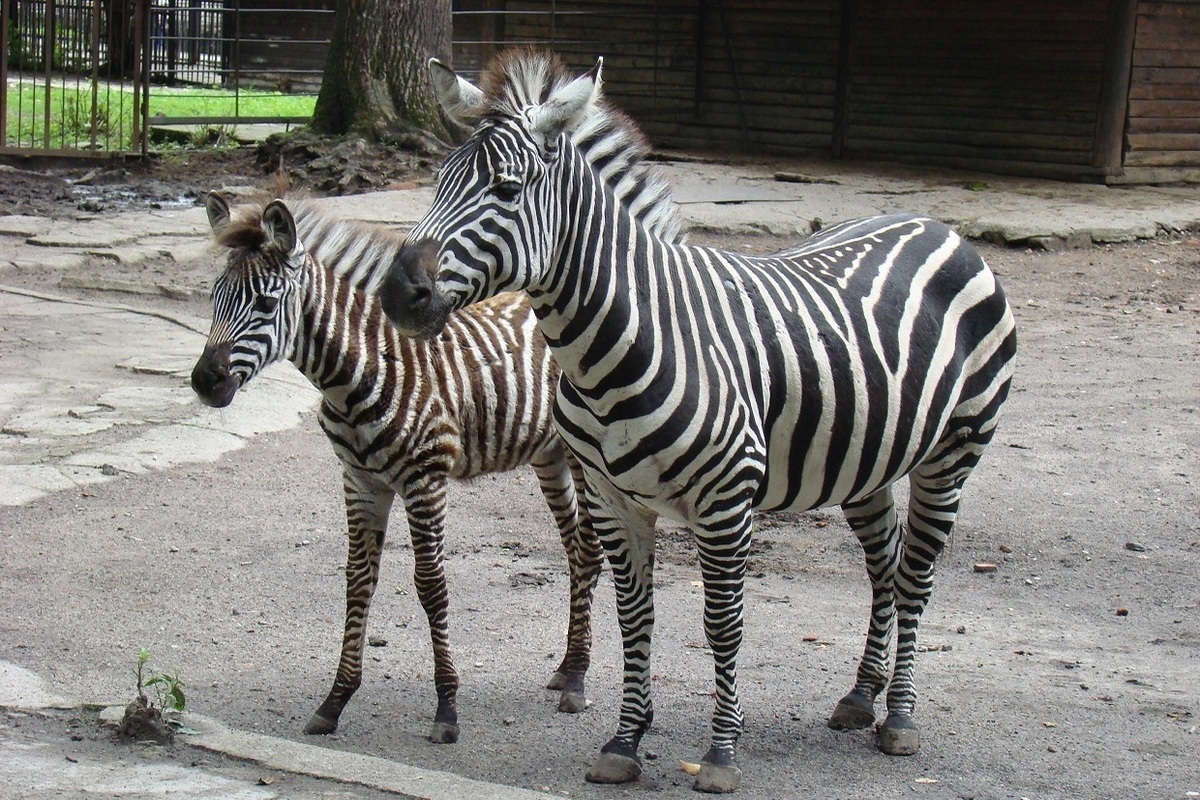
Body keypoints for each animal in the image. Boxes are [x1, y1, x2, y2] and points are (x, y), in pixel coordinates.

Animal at [379, 50, 1017, 796]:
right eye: (436, 184)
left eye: (507, 191)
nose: (397, 294)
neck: (618, 342)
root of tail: (935, 224)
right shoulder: (613, 497)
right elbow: (635, 617)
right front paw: (626, 741)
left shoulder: (725, 500)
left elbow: (723, 624)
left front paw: (719, 754)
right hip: (867, 460)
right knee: (884, 566)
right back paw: (863, 696)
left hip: (954, 451)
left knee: (915, 573)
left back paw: (901, 718)